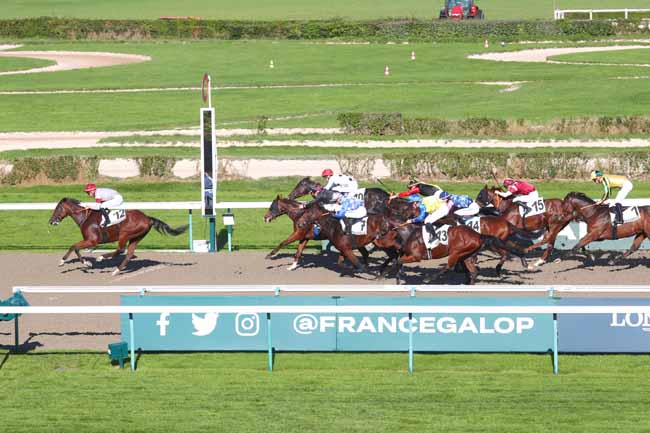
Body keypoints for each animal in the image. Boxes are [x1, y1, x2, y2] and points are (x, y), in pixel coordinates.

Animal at [49, 198, 186, 276]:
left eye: (57, 208)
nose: (51, 221)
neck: (85, 217)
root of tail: (147, 218)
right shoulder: (89, 241)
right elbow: (76, 248)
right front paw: (86, 263)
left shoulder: (92, 241)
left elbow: (74, 246)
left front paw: (64, 261)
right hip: (136, 237)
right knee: (129, 254)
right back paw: (116, 270)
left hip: (125, 234)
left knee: (121, 249)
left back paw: (101, 257)